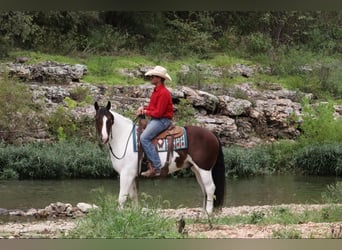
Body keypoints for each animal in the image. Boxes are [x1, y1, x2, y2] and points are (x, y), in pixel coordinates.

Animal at [95, 100, 226, 214]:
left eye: (110, 120)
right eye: (96, 119)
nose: (104, 138)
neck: (124, 138)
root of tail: (212, 134)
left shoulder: (126, 174)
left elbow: (122, 197)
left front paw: (119, 215)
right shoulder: (132, 175)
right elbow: (133, 196)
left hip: (205, 169)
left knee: (210, 188)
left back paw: (208, 213)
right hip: (196, 169)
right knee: (204, 189)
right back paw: (204, 214)